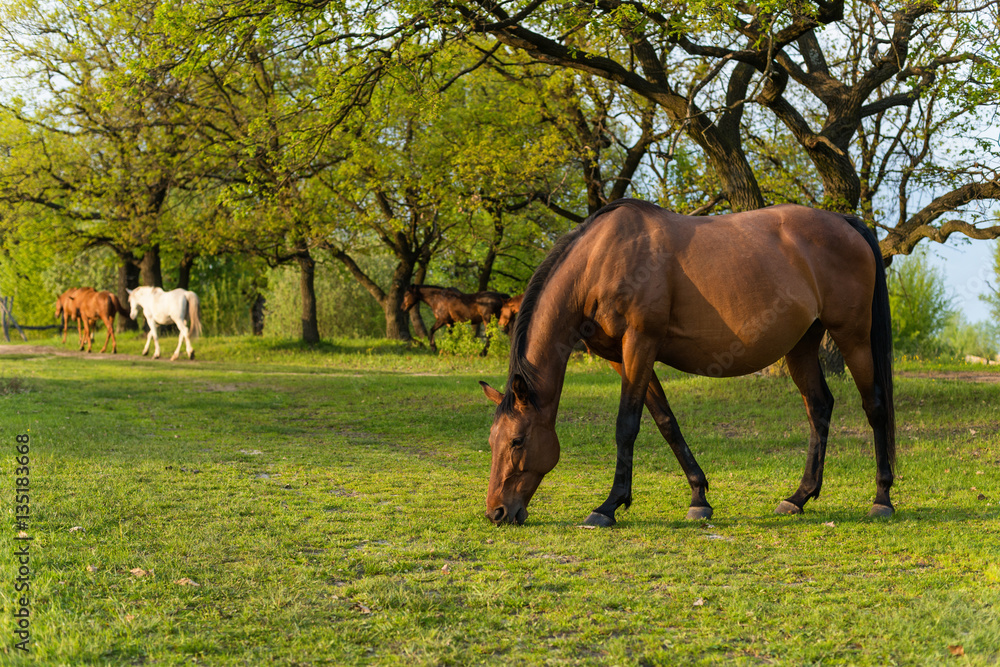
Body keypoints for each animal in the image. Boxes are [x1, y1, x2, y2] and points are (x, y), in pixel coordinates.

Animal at [480, 199, 894, 527]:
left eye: (517, 440)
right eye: (491, 439)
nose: (497, 512)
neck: (601, 259)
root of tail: (845, 221)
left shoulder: (640, 344)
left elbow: (626, 425)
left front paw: (608, 506)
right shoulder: (621, 357)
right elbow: (665, 422)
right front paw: (699, 498)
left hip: (853, 336)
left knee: (874, 405)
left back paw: (882, 498)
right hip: (802, 344)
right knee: (819, 406)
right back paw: (799, 497)